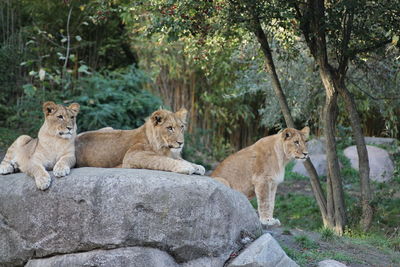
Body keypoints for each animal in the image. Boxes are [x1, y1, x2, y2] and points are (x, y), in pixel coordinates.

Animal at [75, 107, 206, 176]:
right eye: (170, 128)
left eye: (182, 127)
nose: (181, 143)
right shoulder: (132, 155)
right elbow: (162, 160)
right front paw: (187, 166)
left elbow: (179, 158)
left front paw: (197, 166)